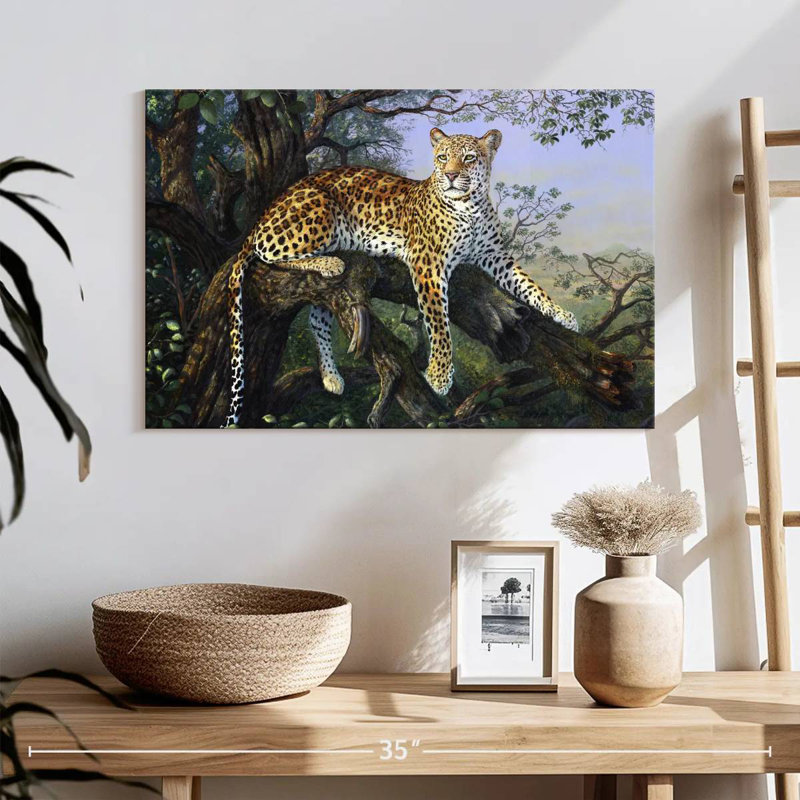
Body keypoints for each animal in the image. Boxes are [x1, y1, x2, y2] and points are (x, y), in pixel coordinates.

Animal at [223, 127, 578, 427]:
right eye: (442, 158)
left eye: (468, 158)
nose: (450, 175)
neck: (471, 206)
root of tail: (267, 211)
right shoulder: (428, 263)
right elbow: (438, 322)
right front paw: (439, 376)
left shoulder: (495, 257)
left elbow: (530, 285)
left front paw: (563, 315)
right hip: (318, 211)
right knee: (268, 253)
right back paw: (328, 264)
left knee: (316, 317)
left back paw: (331, 378)